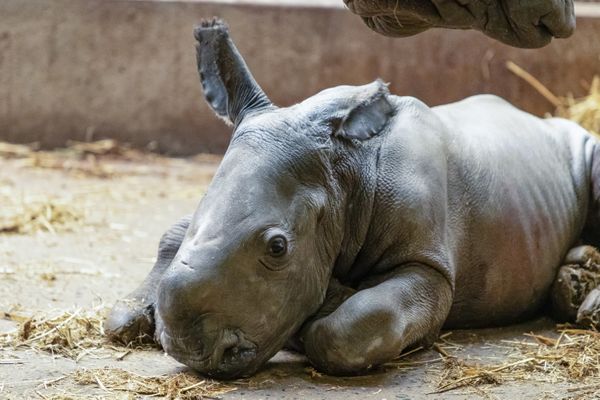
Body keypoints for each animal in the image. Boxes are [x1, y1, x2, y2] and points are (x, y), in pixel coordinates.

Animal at [105, 19, 600, 378]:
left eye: (278, 247)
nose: (190, 350)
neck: (346, 173)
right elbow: (156, 260)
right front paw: (133, 312)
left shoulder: (428, 264)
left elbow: (349, 330)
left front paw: (323, 311)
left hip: (582, 147)